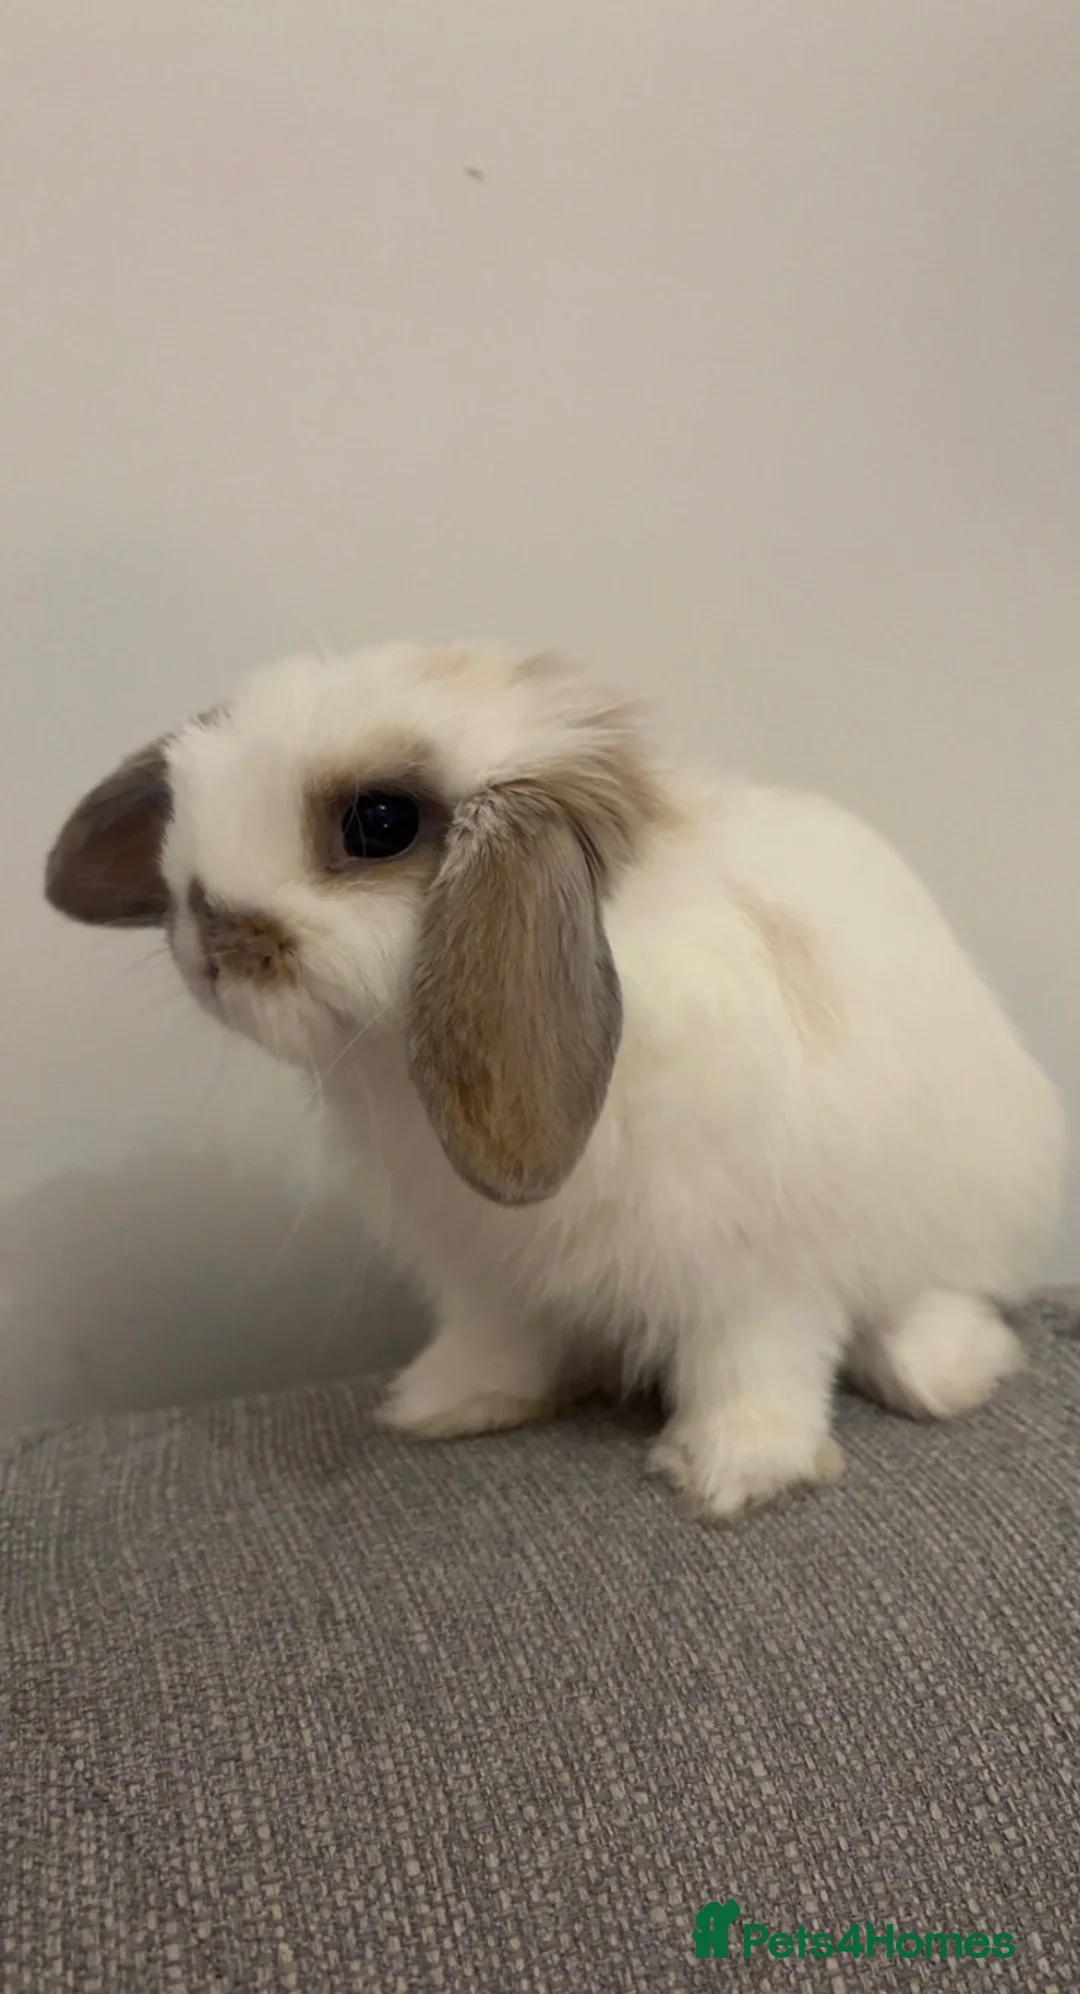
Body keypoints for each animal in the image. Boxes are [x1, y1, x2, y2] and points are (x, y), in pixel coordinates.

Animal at [45, 642, 1065, 1521]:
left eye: (379, 823)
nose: (204, 933)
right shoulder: (489, 1273)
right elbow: (501, 1342)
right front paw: (445, 1403)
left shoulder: (761, 1274)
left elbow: (754, 1370)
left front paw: (731, 1474)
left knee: (938, 1301)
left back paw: (944, 1368)